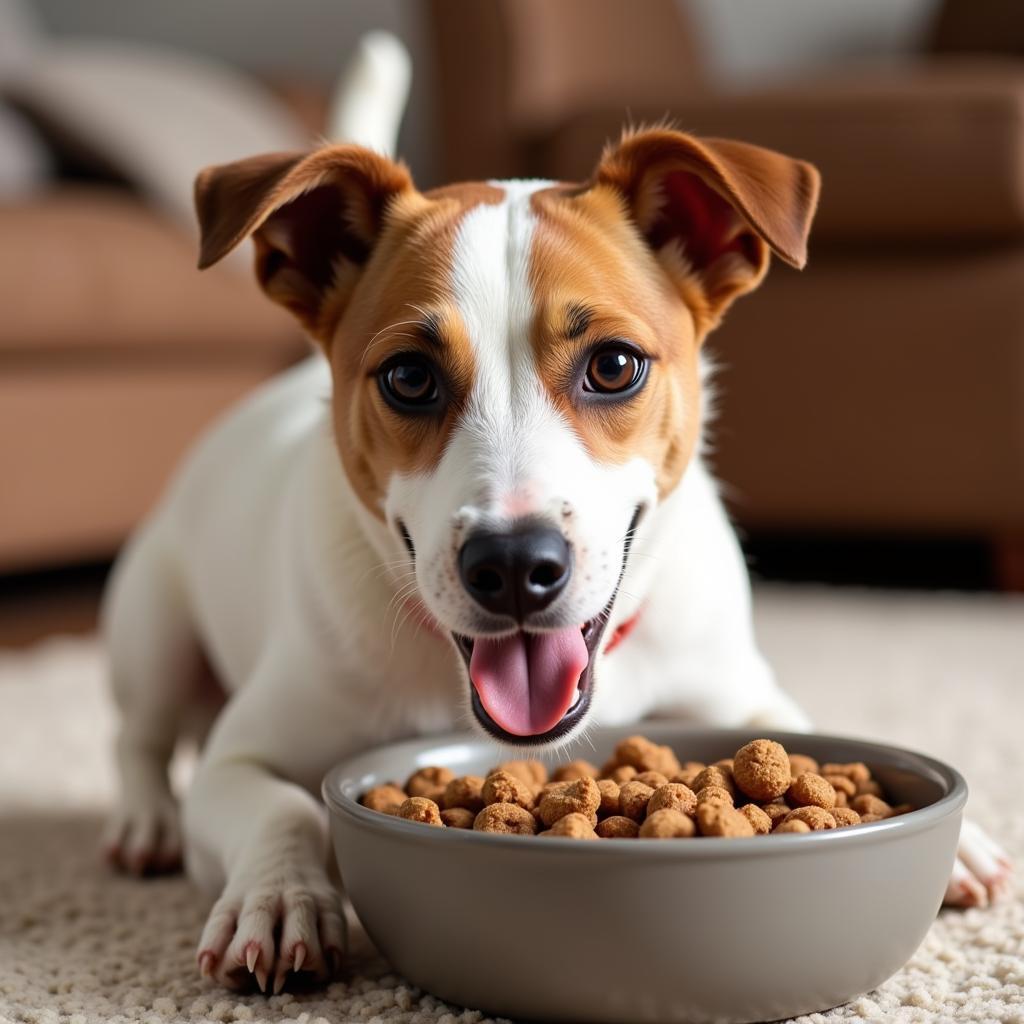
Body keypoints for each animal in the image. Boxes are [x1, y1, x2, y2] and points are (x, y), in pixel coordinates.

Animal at [99, 105, 1011, 991]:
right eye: (408, 378)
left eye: (614, 366)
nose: (511, 567)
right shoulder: (241, 755)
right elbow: (284, 806)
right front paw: (283, 899)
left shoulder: (739, 692)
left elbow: (797, 728)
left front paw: (961, 843)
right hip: (152, 624)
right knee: (140, 736)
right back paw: (145, 821)